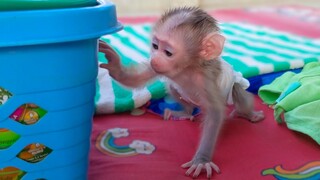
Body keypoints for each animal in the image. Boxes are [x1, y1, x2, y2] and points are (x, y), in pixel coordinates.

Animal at [99, 6, 262, 179]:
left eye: (168, 52)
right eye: (155, 46)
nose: (154, 59)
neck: (187, 68)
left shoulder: (205, 79)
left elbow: (215, 114)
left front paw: (201, 161)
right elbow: (135, 79)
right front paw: (115, 66)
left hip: (233, 86)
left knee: (238, 93)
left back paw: (248, 114)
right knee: (174, 88)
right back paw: (186, 112)